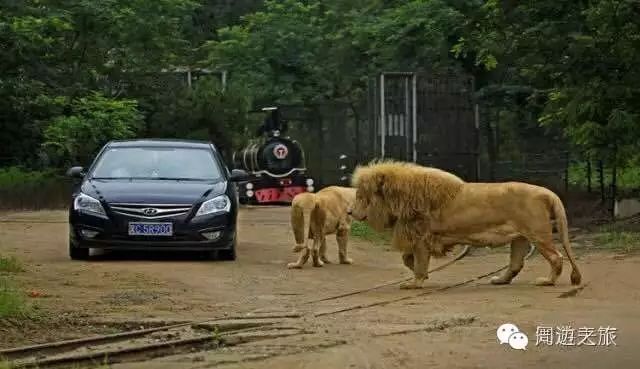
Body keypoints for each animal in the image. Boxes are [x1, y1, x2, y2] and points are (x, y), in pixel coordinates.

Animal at [348, 160, 584, 288]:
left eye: (360, 196)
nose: (349, 212)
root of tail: (548, 192)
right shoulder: (418, 238)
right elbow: (408, 260)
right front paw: (422, 275)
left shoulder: (422, 237)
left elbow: (418, 263)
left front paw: (415, 282)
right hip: (520, 237)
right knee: (516, 264)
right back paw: (500, 280)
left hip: (538, 234)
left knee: (557, 257)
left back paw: (547, 281)